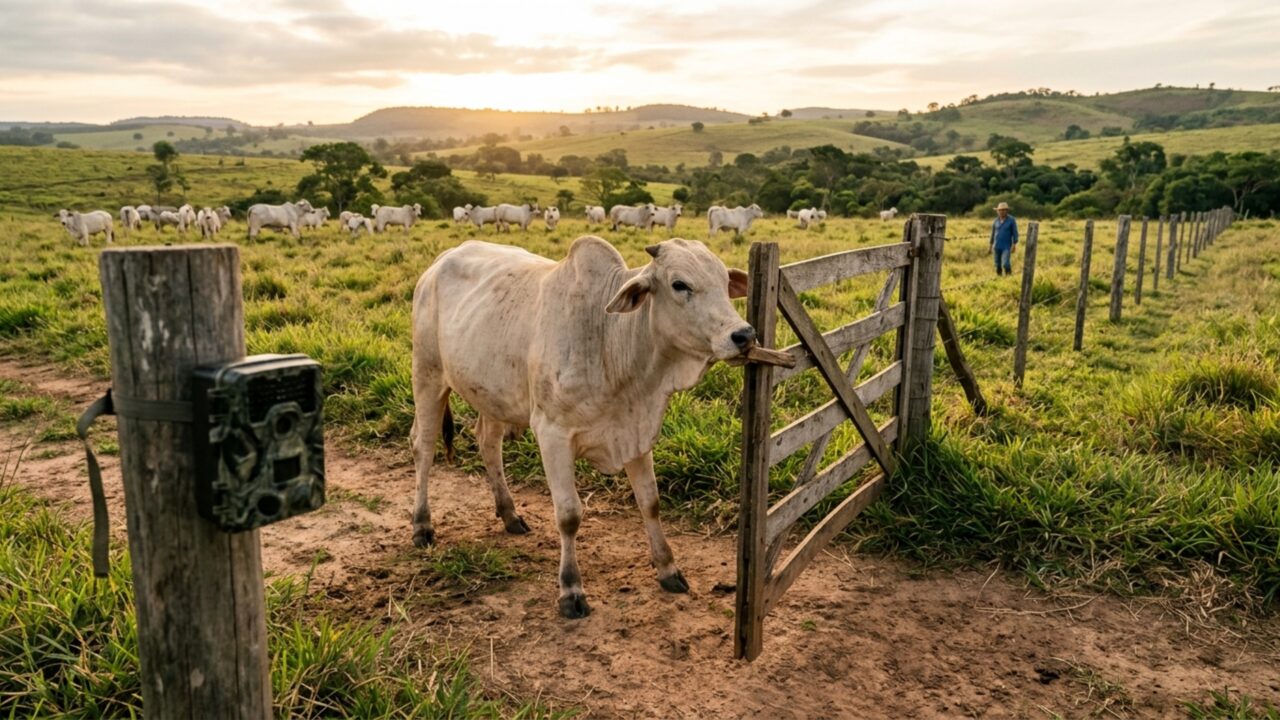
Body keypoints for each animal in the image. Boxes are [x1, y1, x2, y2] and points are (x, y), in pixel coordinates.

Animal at [409, 236, 756, 618]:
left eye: (724, 280)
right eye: (680, 284)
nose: (744, 335)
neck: (609, 339)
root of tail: (442, 258)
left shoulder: (634, 431)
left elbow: (650, 502)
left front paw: (668, 569)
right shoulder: (553, 434)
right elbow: (569, 514)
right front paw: (571, 590)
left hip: (492, 394)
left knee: (487, 442)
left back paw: (509, 514)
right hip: (428, 375)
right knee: (423, 446)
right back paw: (422, 525)